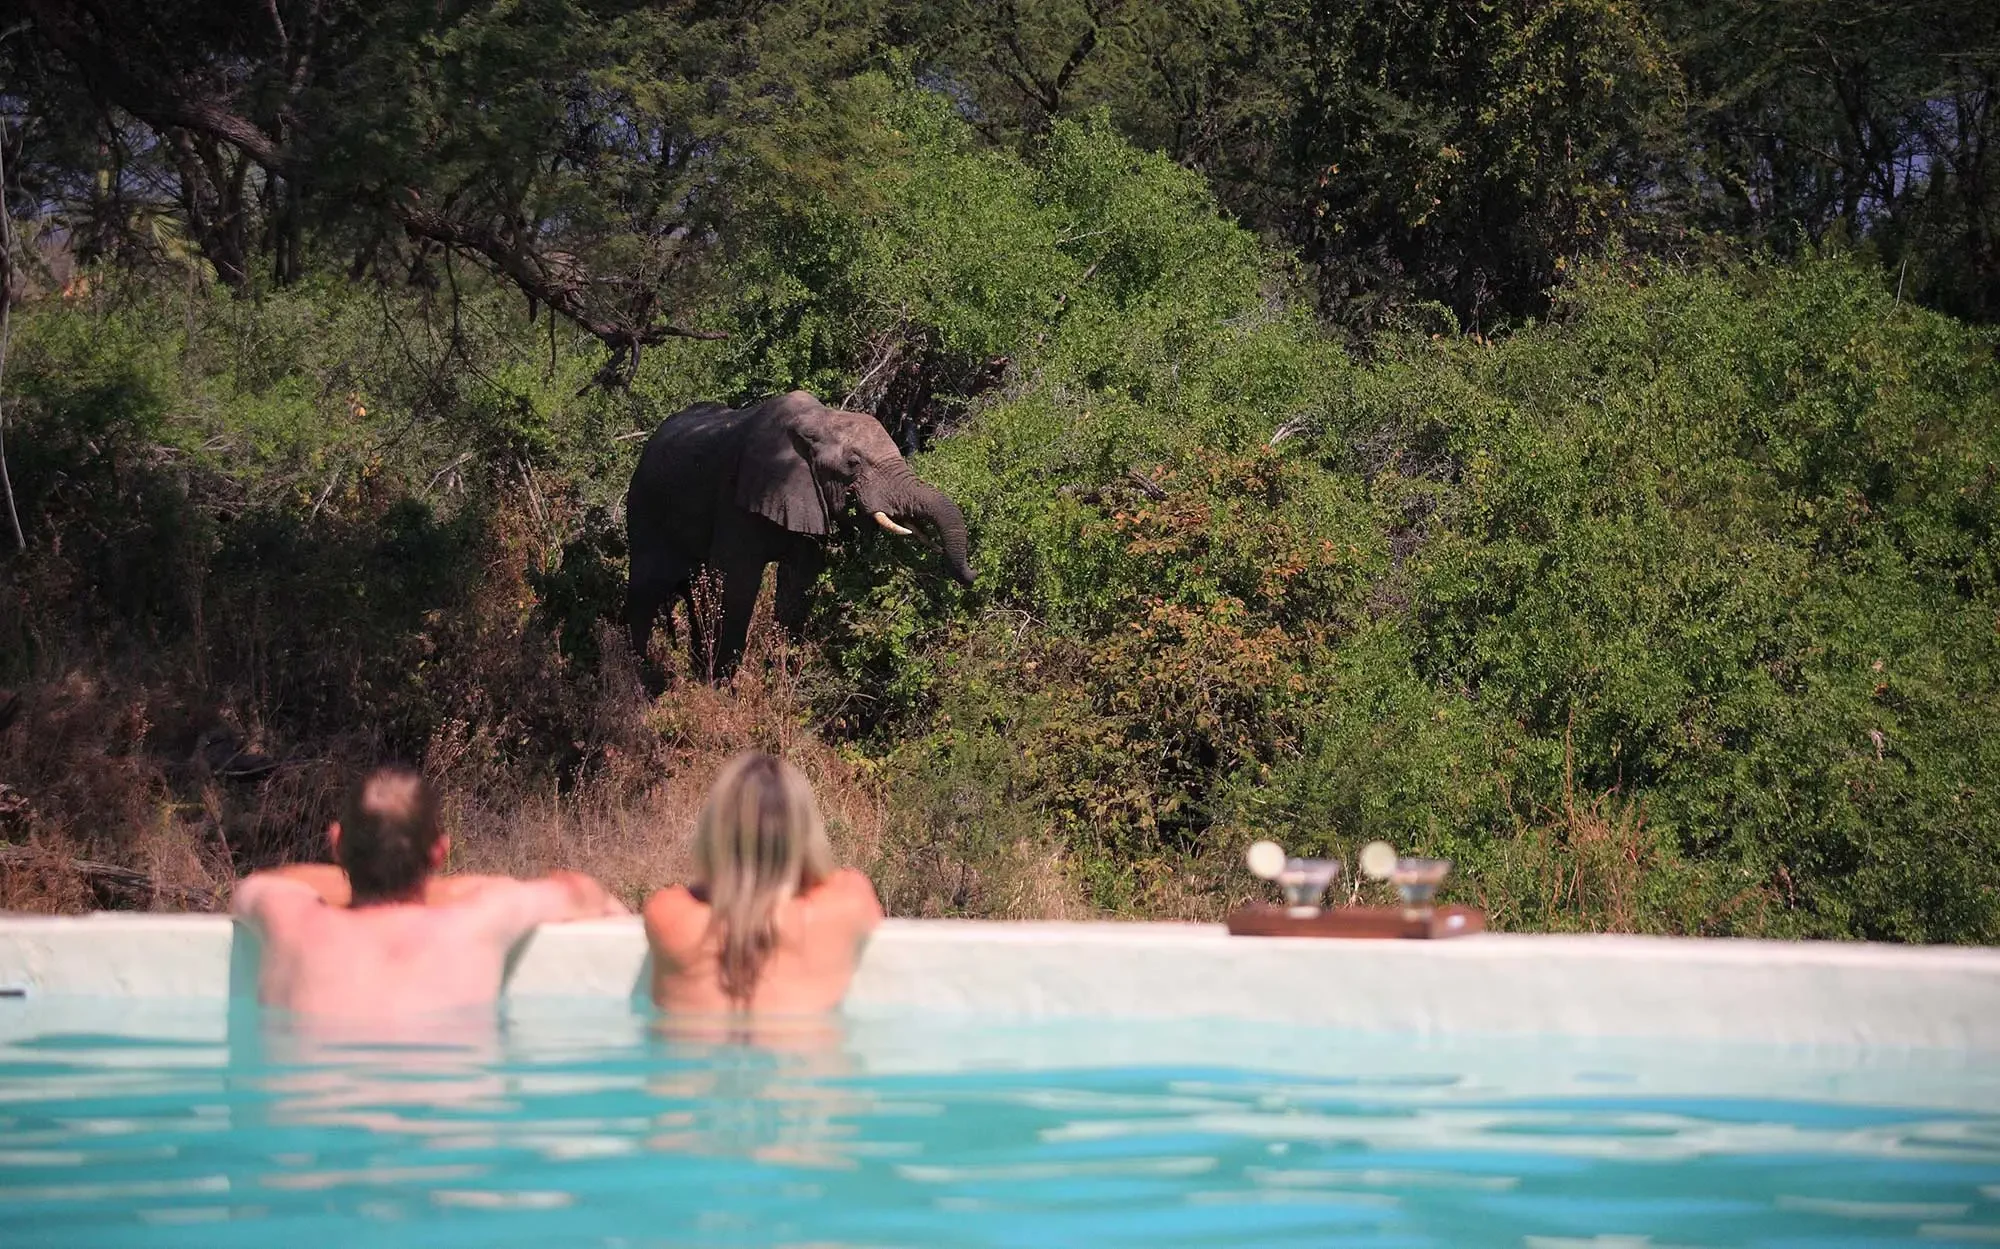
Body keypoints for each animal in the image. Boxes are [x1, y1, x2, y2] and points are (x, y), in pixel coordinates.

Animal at [625, 390, 974, 687]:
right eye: (853, 463)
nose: (970, 575)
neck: (818, 420)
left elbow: (799, 582)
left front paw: (778, 681)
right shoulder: (736, 498)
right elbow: (736, 582)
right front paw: (720, 689)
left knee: (692, 591)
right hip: (644, 504)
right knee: (647, 587)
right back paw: (645, 680)